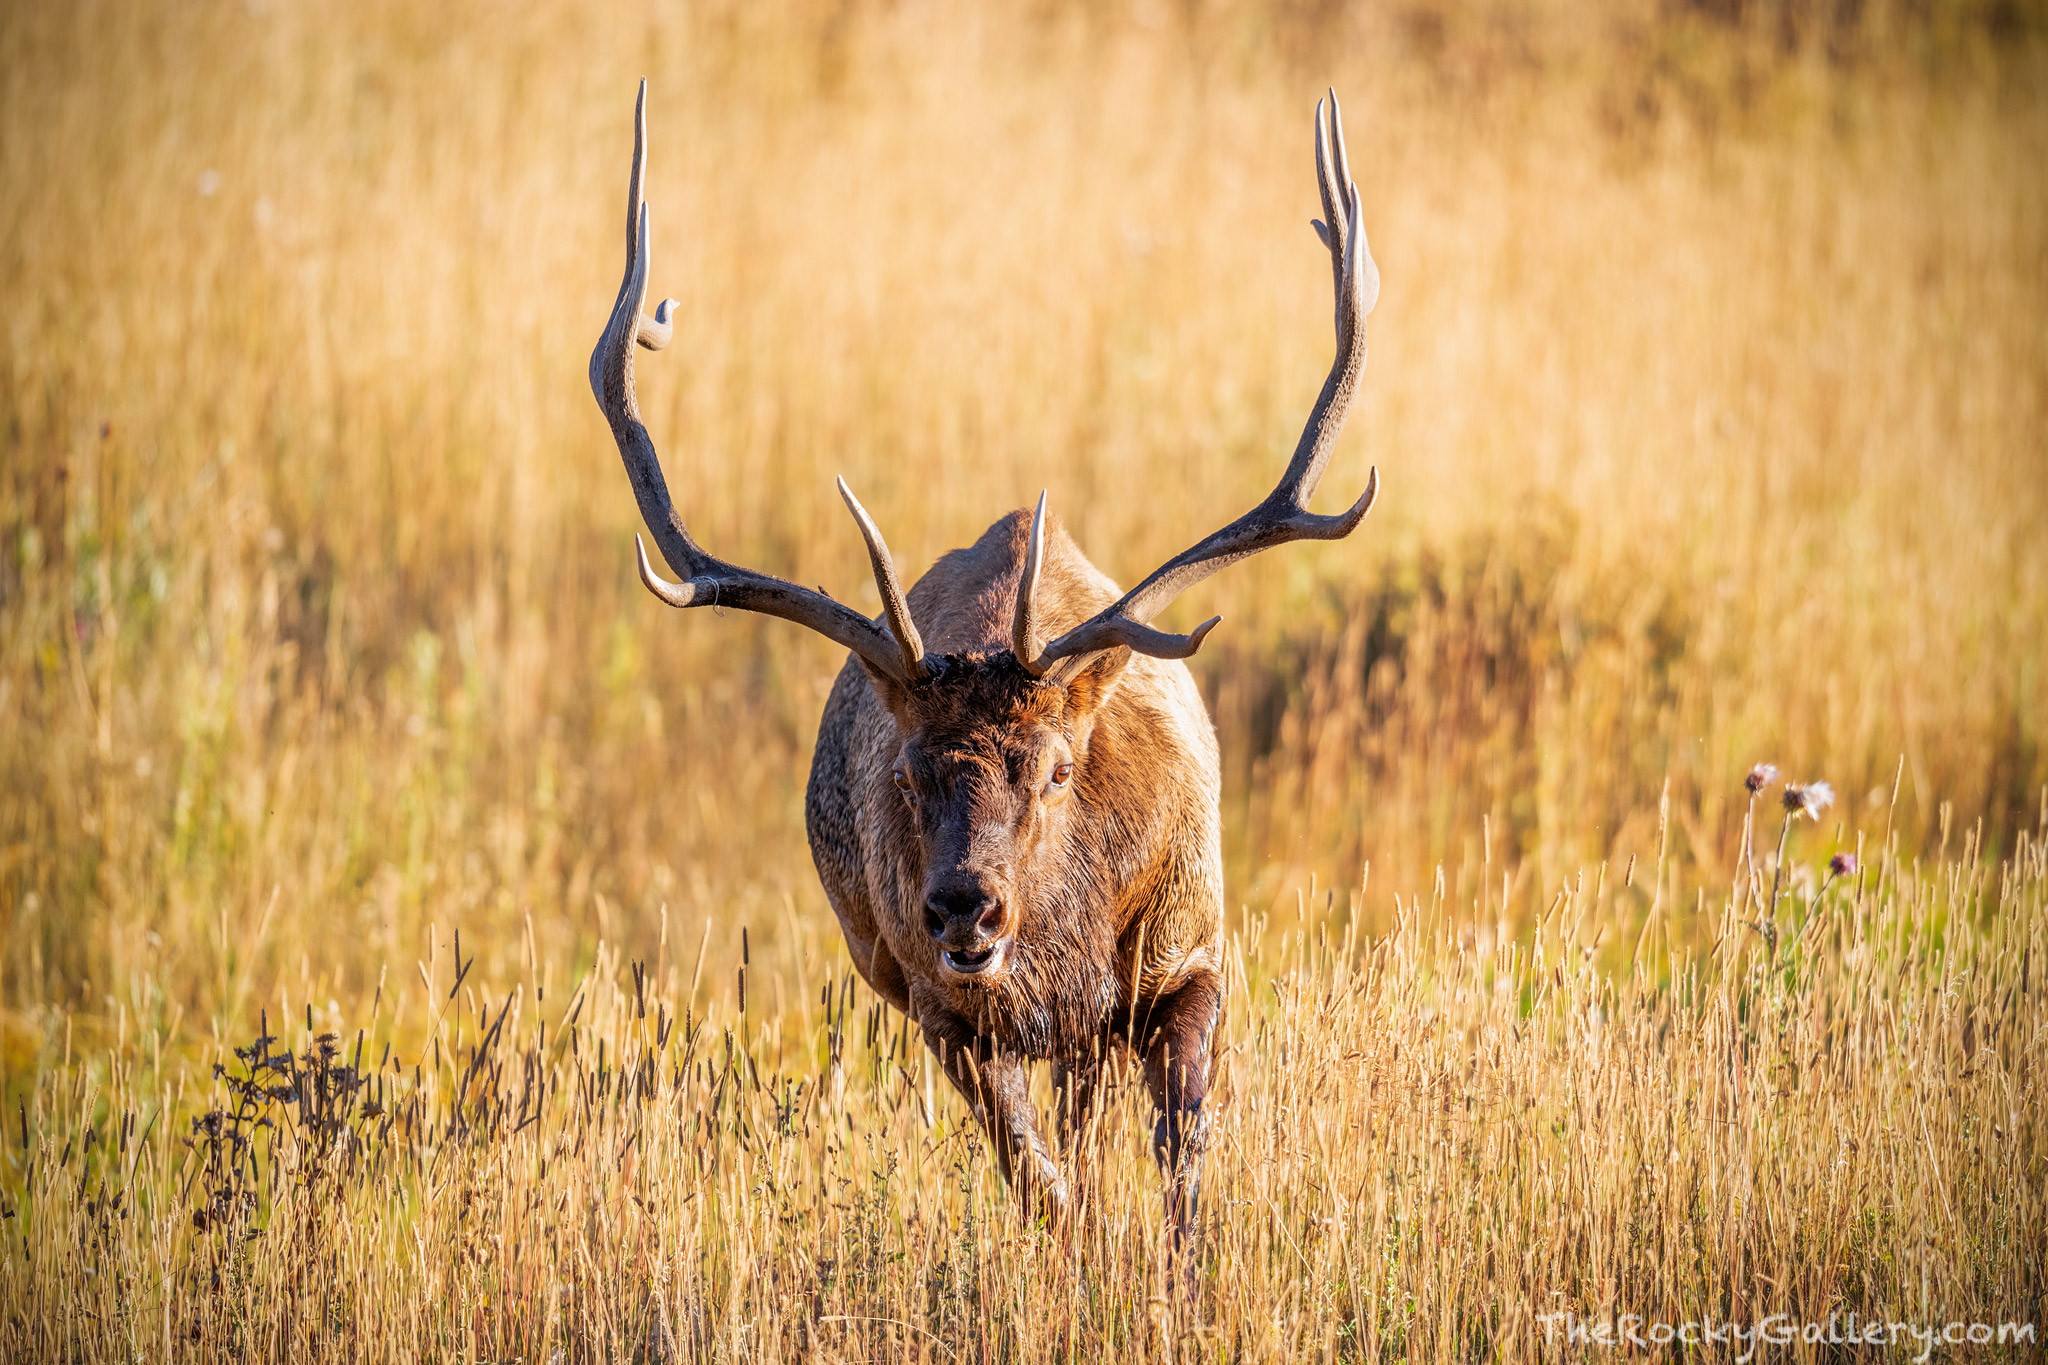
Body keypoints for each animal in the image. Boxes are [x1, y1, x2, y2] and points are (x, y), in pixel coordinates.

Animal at [598, 82, 1392, 1252]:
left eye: (1057, 767)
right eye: (905, 772)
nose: (962, 910)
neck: (1062, 942)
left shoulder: (1195, 948)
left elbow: (1183, 1154)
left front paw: (1176, 1270)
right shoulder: (946, 1015)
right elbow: (1043, 1187)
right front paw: (1090, 1262)